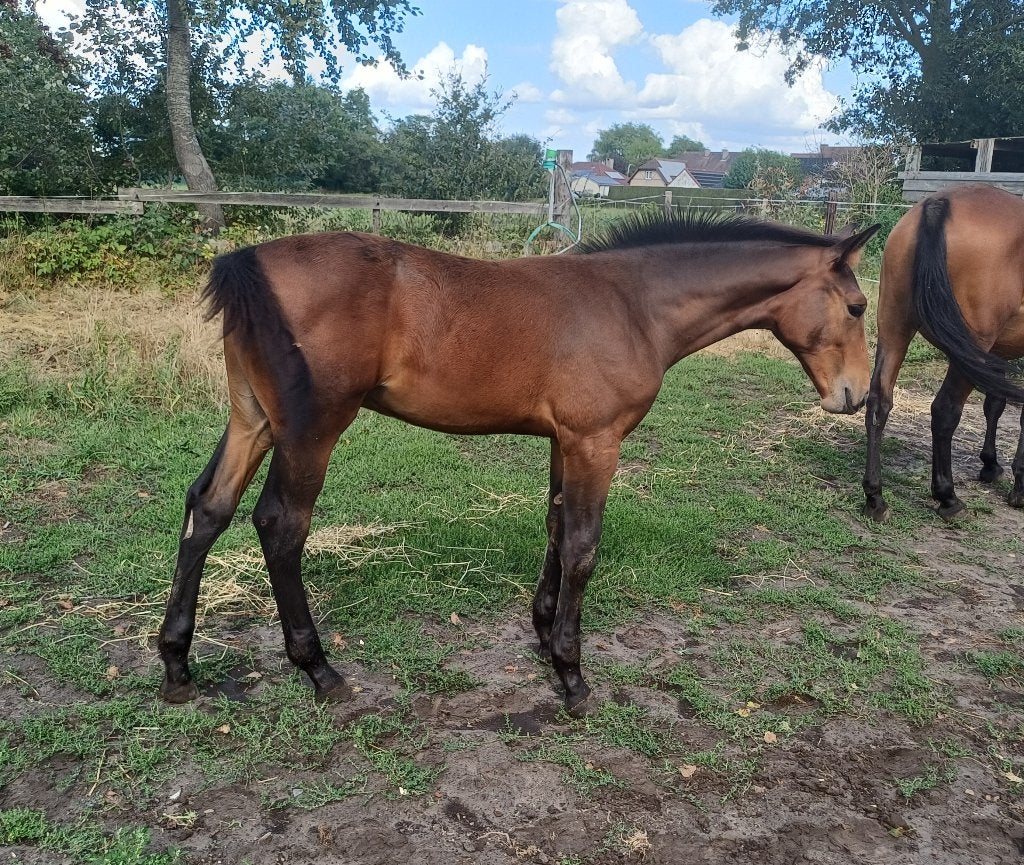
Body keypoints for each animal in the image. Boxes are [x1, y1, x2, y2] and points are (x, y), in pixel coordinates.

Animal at [158, 209, 878, 716]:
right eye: (856, 306)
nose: (854, 395)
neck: (633, 304)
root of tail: (248, 262)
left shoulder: (565, 440)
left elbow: (556, 530)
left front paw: (540, 633)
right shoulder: (597, 440)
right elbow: (584, 546)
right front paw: (572, 674)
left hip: (252, 419)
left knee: (207, 507)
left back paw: (175, 664)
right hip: (311, 431)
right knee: (280, 525)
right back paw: (319, 669)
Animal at [863, 184, 1024, 522]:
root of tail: (940, 204)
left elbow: (996, 403)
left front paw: (991, 465)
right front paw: (1020, 485)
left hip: (894, 327)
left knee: (878, 403)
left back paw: (875, 497)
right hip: (971, 349)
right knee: (944, 410)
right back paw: (948, 497)